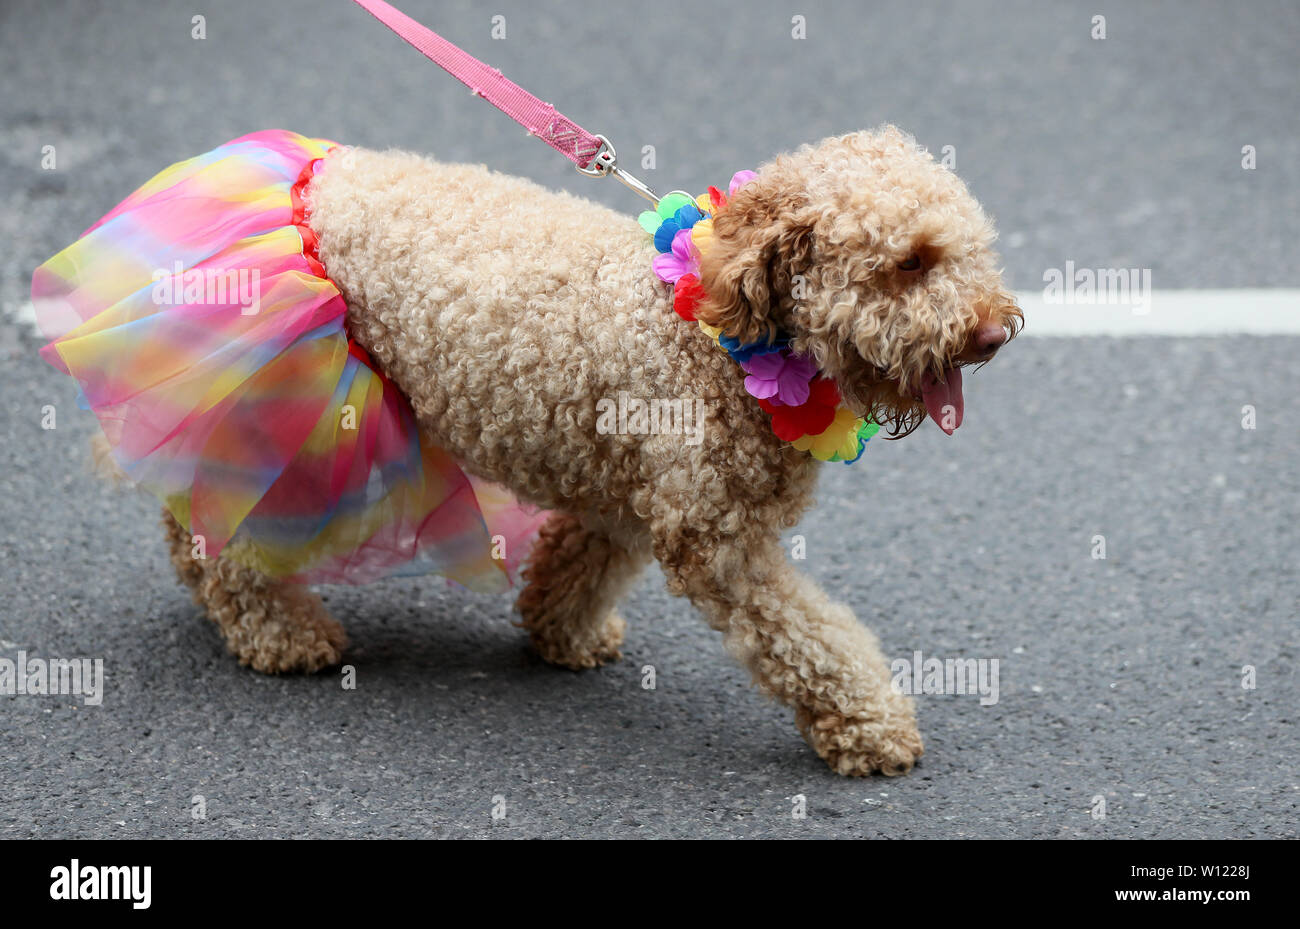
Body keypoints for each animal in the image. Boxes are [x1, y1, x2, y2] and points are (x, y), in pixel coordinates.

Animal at [137, 125, 1019, 779]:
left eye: (972, 250)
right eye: (910, 262)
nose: (994, 332)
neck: (714, 333)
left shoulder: (629, 489)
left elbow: (581, 561)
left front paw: (561, 630)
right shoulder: (715, 539)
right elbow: (810, 637)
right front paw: (870, 723)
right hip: (293, 401)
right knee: (221, 526)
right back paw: (276, 630)